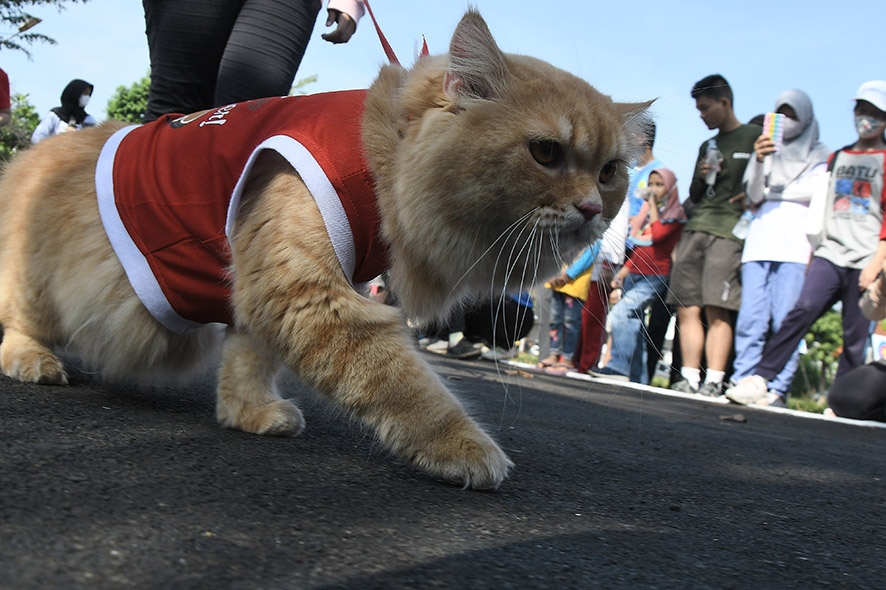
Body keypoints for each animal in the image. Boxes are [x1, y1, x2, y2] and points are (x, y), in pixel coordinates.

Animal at [0, 11, 652, 490]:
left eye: (610, 172)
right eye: (546, 152)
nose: (592, 210)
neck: (382, 156)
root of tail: (25, 157)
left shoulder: (271, 290)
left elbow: (249, 362)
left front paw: (249, 414)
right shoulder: (309, 292)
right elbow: (406, 385)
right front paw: (465, 448)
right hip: (42, 284)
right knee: (21, 323)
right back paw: (33, 361)